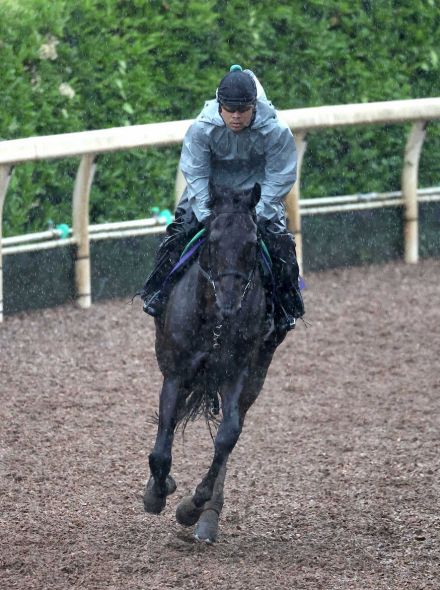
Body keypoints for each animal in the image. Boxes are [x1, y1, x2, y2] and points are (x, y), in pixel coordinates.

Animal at [144, 183, 286, 544]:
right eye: (213, 239)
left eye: (252, 242)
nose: (231, 302)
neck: (215, 321)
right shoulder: (176, 374)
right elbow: (163, 442)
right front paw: (156, 492)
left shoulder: (238, 374)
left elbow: (226, 437)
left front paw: (192, 505)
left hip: (257, 374)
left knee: (231, 432)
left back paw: (207, 520)